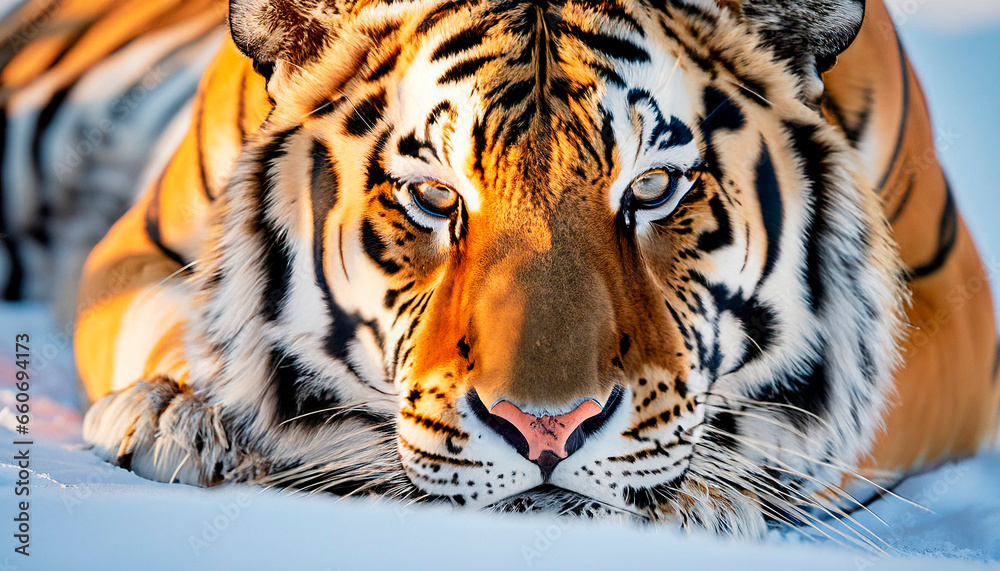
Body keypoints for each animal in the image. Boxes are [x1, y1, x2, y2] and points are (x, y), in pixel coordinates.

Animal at [2, 0, 998, 538]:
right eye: (434, 197)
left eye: (655, 187)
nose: (544, 431)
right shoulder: (140, 247)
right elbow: (179, 317)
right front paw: (188, 415)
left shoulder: (946, 306)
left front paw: (699, 494)